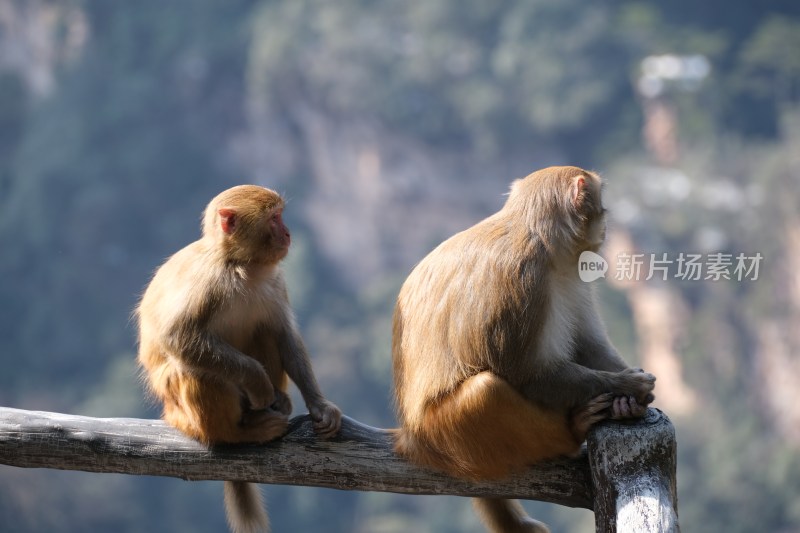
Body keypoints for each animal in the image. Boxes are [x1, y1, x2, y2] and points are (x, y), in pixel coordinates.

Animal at [136, 184, 342, 532]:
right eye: (274, 218)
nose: (288, 232)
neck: (242, 266)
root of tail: (171, 414)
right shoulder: (207, 281)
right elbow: (178, 336)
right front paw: (258, 382)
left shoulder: (275, 281)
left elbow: (284, 334)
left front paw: (320, 405)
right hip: (185, 412)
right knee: (195, 371)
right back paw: (238, 433)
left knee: (263, 330)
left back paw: (279, 401)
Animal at [392, 166, 656, 532]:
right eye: (601, 203)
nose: (606, 223)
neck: (540, 238)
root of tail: (410, 439)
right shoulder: (523, 279)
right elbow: (525, 372)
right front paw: (628, 386)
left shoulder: (572, 276)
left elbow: (587, 347)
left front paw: (627, 398)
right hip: (444, 437)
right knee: (486, 391)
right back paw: (572, 431)